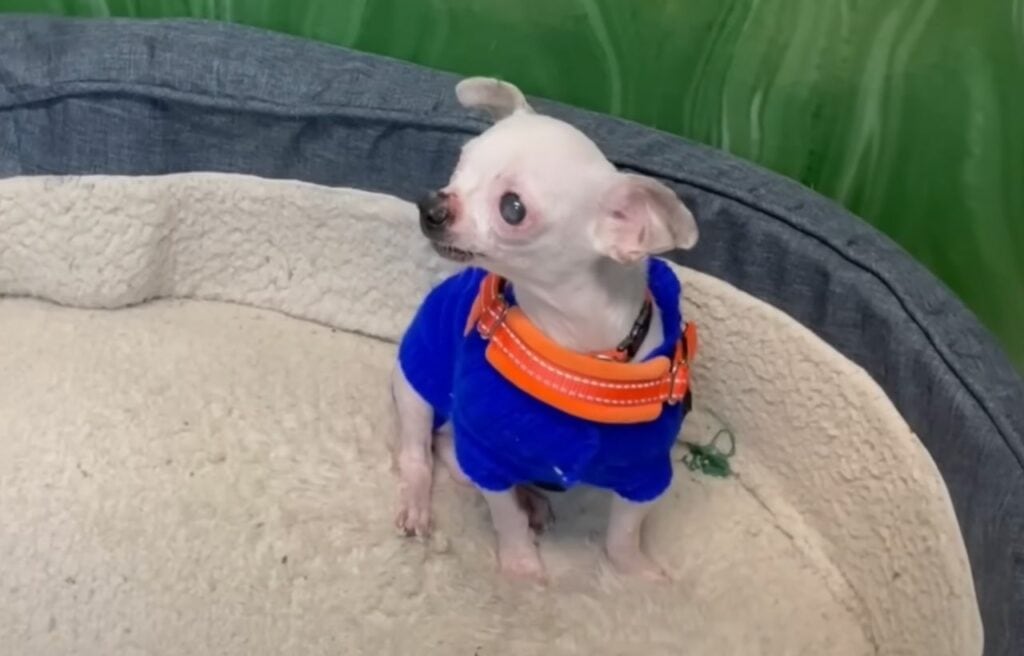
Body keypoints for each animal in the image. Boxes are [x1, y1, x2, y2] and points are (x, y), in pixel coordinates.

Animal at [392, 78, 698, 581]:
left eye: (512, 209)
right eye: (459, 165)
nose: (430, 205)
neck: (574, 348)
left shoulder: (646, 470)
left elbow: (624, 533)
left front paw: (637, 573)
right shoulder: (489, 454)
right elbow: (506, 519)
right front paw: (523, 571)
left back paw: (532, 498)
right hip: (415, 387)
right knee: (422, 454)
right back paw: (421, 503)